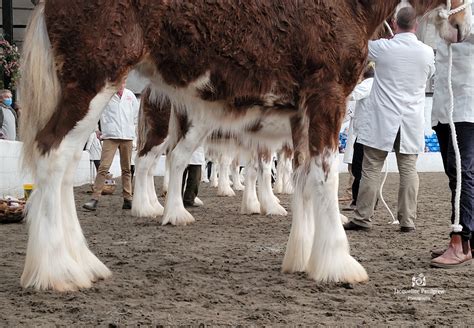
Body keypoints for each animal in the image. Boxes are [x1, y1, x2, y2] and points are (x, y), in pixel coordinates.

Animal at [17, 1, 470, 290]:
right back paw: (60, 270)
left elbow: (302, 177)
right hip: (95, 81)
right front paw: (337, 263)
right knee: (61, 155)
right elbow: (322, 175)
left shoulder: (298, 115)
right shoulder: (326, 97)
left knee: (74, 167)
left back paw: (89, 258)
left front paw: (302, 255)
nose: (464, 27)